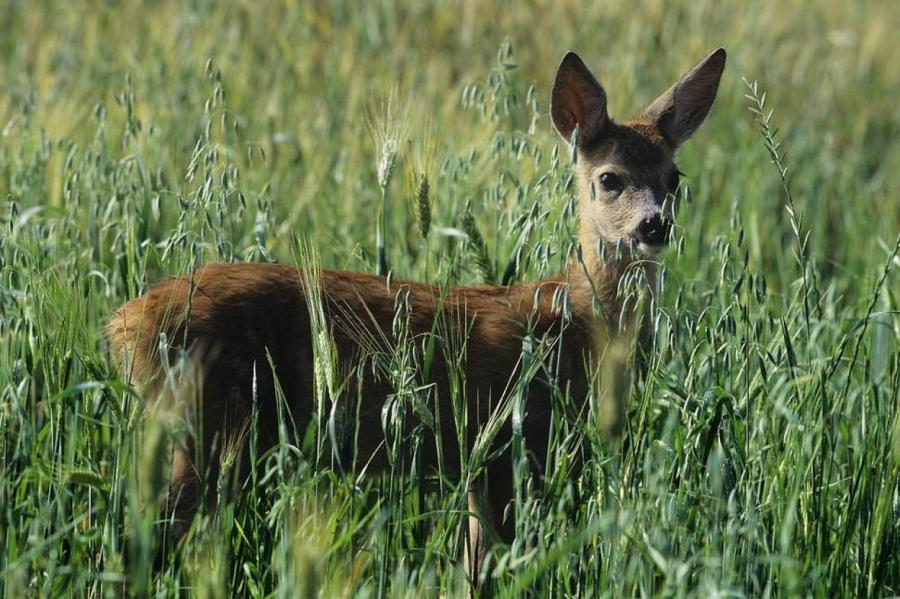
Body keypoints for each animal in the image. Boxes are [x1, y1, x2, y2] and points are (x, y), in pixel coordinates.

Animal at [103, 47, 724, 584]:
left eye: (674, 179)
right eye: (610, 178)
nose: (654, 226)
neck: (576, 323)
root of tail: (125, 323)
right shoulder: (507, 446)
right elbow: (483, 570)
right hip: (211, 427)